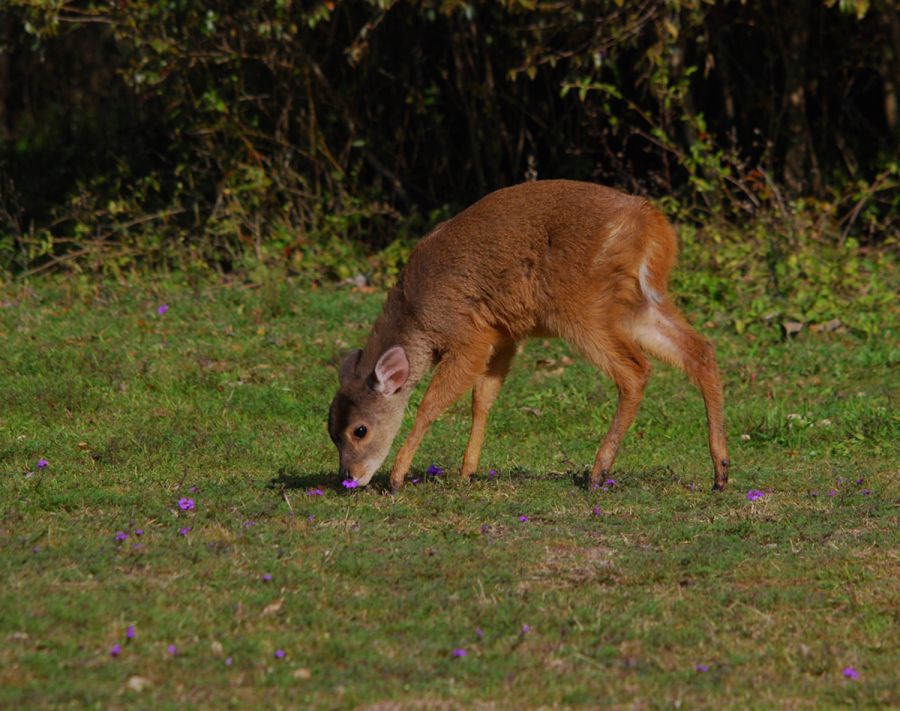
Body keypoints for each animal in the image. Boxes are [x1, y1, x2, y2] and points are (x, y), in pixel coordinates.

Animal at [328, 182, 732, 496]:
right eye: (331, 431)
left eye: (359, 430)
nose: (349, 479)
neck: (417, 315)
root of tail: (651, 224)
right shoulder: (504, 334)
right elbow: (482, 399)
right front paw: (467, 471)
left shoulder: (469, 335)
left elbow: (430, 404)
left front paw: (397, 478)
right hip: (639, 303)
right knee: (701, 350)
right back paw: (720, 472)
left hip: (582, 305)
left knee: (635, 370)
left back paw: (598, 473)